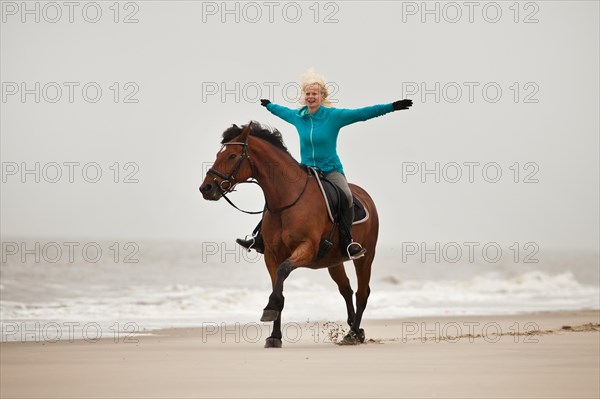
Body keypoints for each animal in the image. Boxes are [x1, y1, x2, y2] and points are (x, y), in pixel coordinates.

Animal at [200, 123, 380, 348]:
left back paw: (354, 333)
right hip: (334, 261)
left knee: (361, 293)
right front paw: (274, 335)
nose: (206, 188)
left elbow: (283, 271)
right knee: (346, 289)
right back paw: (355, 330)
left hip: (365, 257)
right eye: (219, 154)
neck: (286, 199)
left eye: (232, 156)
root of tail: (366, 197)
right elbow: (278, 285)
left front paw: (270, 308)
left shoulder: (306, 248)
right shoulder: (271, 255)